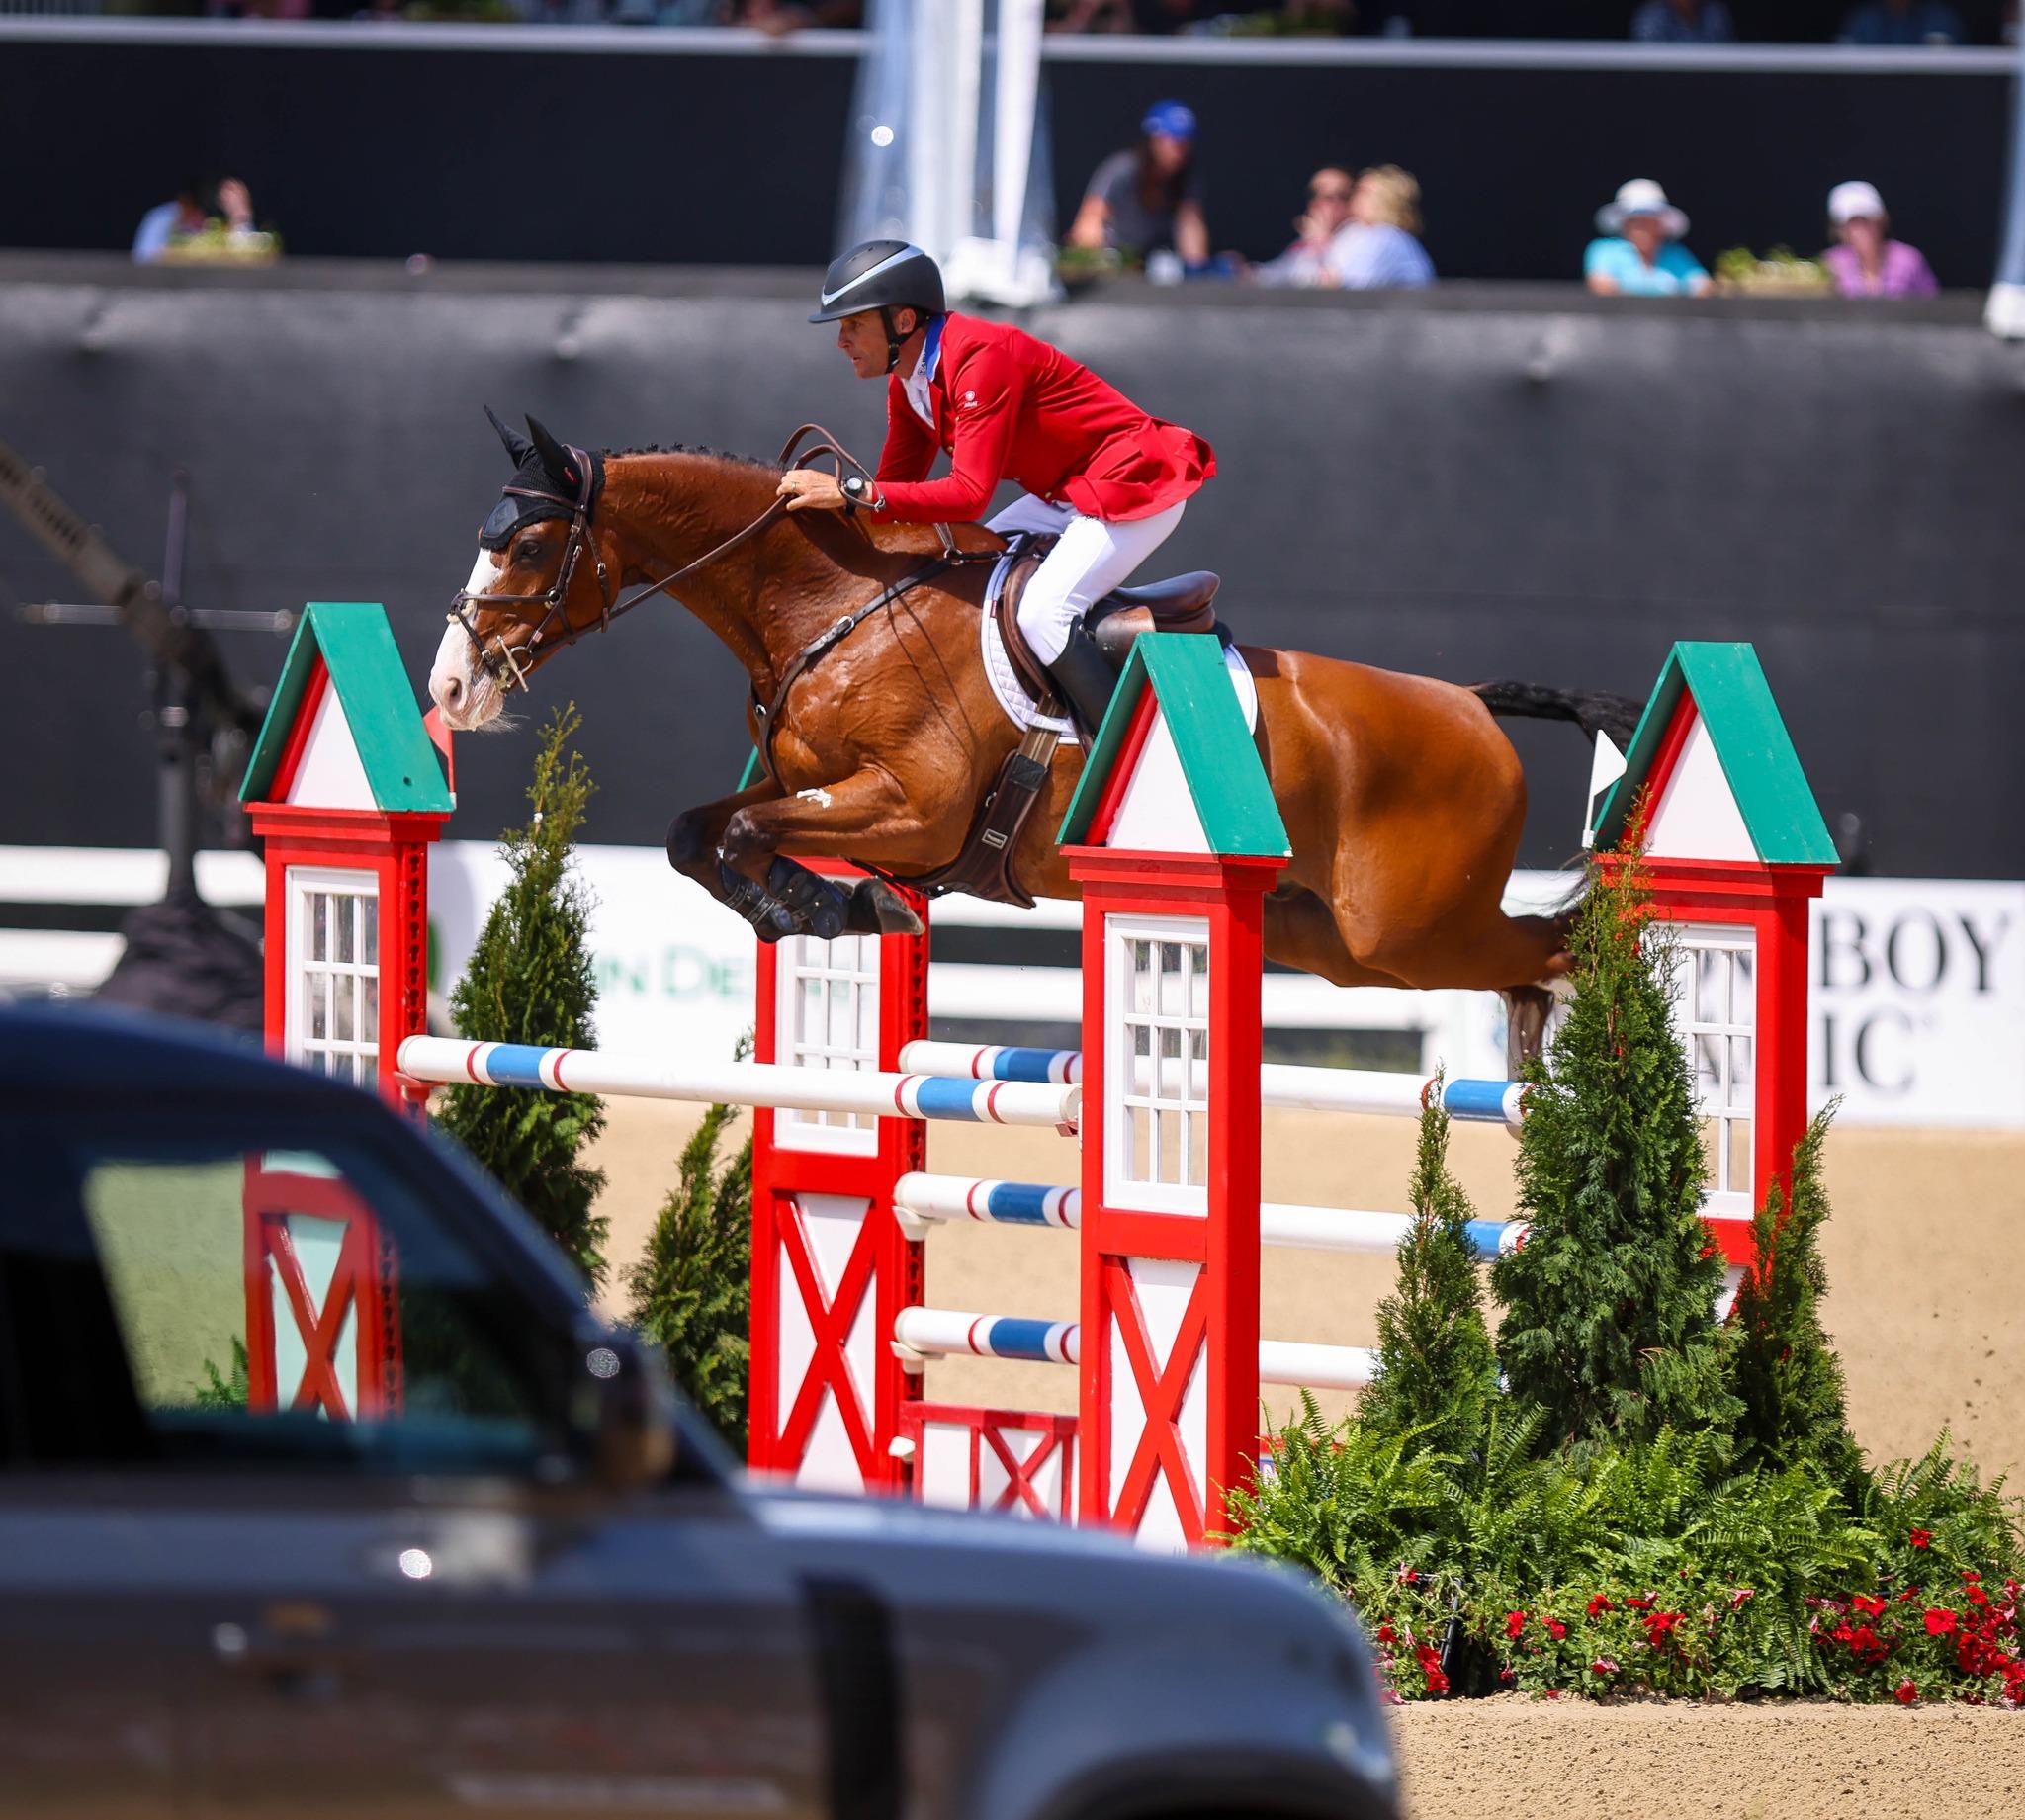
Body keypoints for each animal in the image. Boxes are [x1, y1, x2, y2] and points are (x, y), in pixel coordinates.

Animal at [427, 414, 1628, 1069]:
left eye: (526, 545)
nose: (448, 684)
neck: (834, 605)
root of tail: (1470, 704)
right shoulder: (807, 791)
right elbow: (699, 832)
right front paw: (819, 908)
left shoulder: (913, 812)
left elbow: (751, 837)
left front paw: (829, 906)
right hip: (1328, 940)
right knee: (1525, 963)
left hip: (1406, 930)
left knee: (1552, 952)